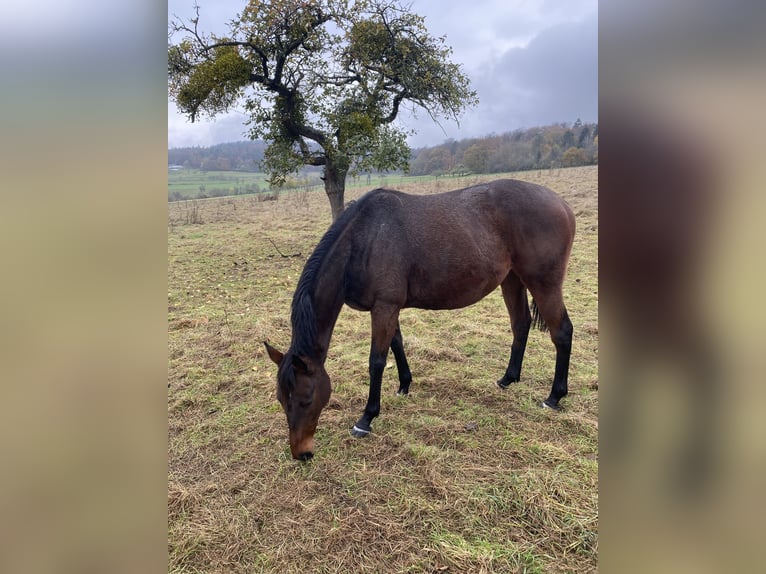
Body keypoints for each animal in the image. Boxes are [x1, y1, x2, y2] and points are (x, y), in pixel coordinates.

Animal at [266, 180, 576, 464]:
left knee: (561, 332)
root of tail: (562, 204)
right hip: (512, 279)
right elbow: (397, 343)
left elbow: (376, 361)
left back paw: (554, 397)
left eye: (306, 399)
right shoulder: (388, 308)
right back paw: (508, 378)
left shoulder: (384, 307)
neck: (363, 239)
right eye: (281, 399)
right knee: (520, 324)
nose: (301, 453)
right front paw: (404, 385)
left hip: (543, 283)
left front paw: (366, 418)